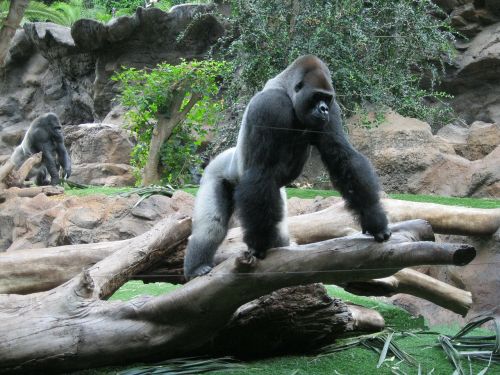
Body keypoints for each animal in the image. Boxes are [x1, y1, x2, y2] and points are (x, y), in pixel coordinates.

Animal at [184, 55, 390, 280]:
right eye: (316, 96)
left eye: (326, 99)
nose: (323, 109)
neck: (288, 92)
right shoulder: (270, 106)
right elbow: (261, 170)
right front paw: (259, 244)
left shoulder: (334, 111)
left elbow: (342, 158)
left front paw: (374, 219)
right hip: (214, 173)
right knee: (212, 226)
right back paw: (197, 267)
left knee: (278, 230)